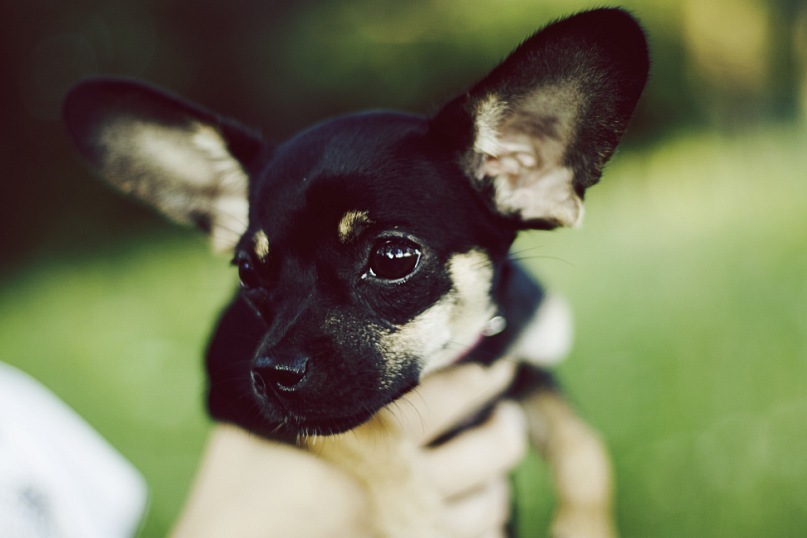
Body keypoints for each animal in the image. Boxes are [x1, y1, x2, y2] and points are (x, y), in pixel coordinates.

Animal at [63, 8, 648, 537]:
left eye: (393, 259)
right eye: (247, 273)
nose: (271, 372)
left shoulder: (524, 362)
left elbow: (583, 448)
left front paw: (583, 529)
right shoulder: (236, 385)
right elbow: (367, 435)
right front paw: (420, 516)